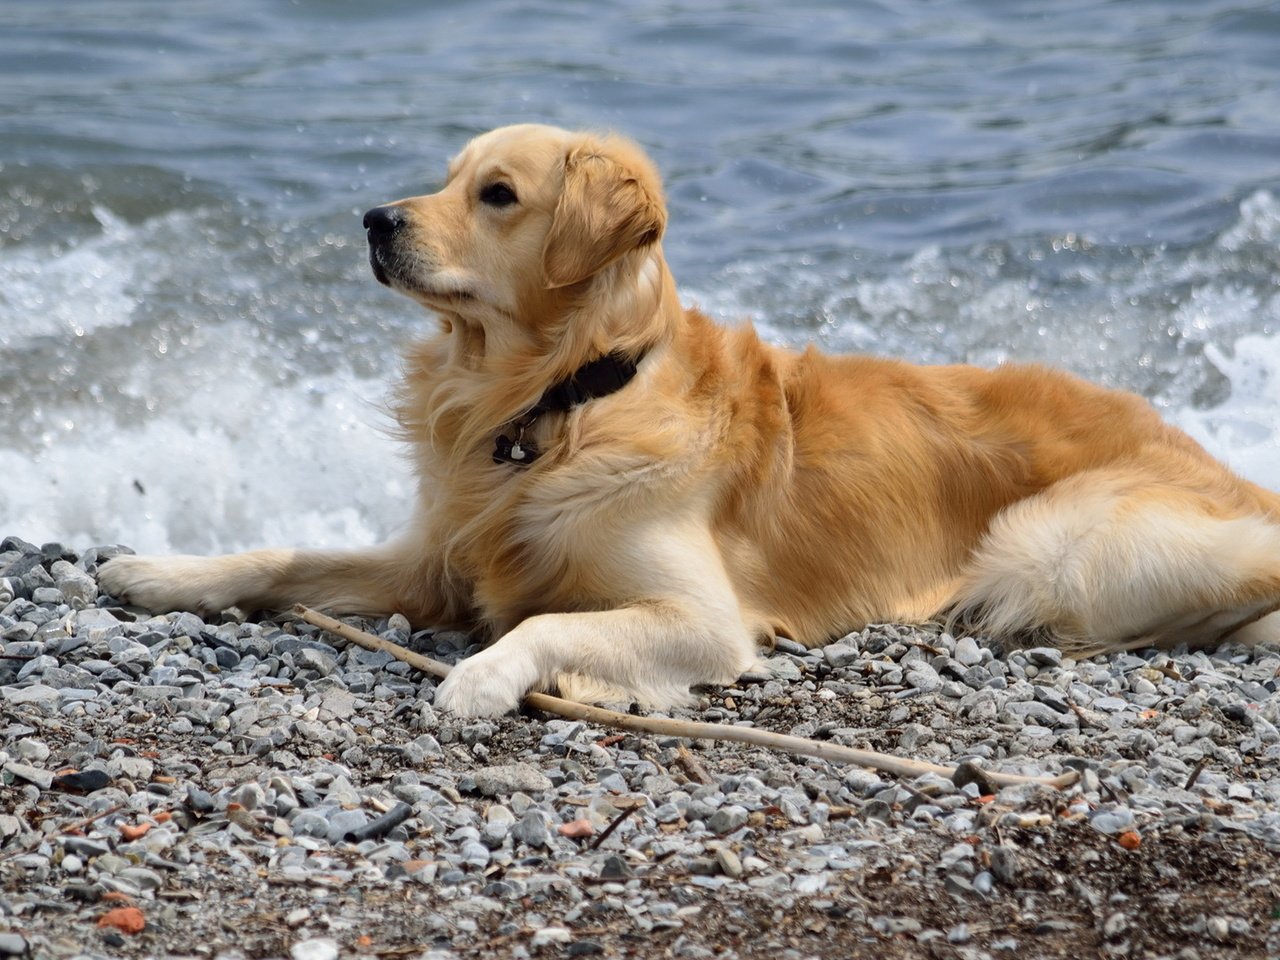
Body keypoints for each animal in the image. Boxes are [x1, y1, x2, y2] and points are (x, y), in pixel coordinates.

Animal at [99, 124, 1280, 716]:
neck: (564, 398)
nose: (374, 220)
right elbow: (282, 553)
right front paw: (157, 573)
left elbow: (545, 623)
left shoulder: (702, 618)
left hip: (1053, 547)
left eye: (496, 193)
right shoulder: (434, 557)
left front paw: (483, 677)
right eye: (444, 178)